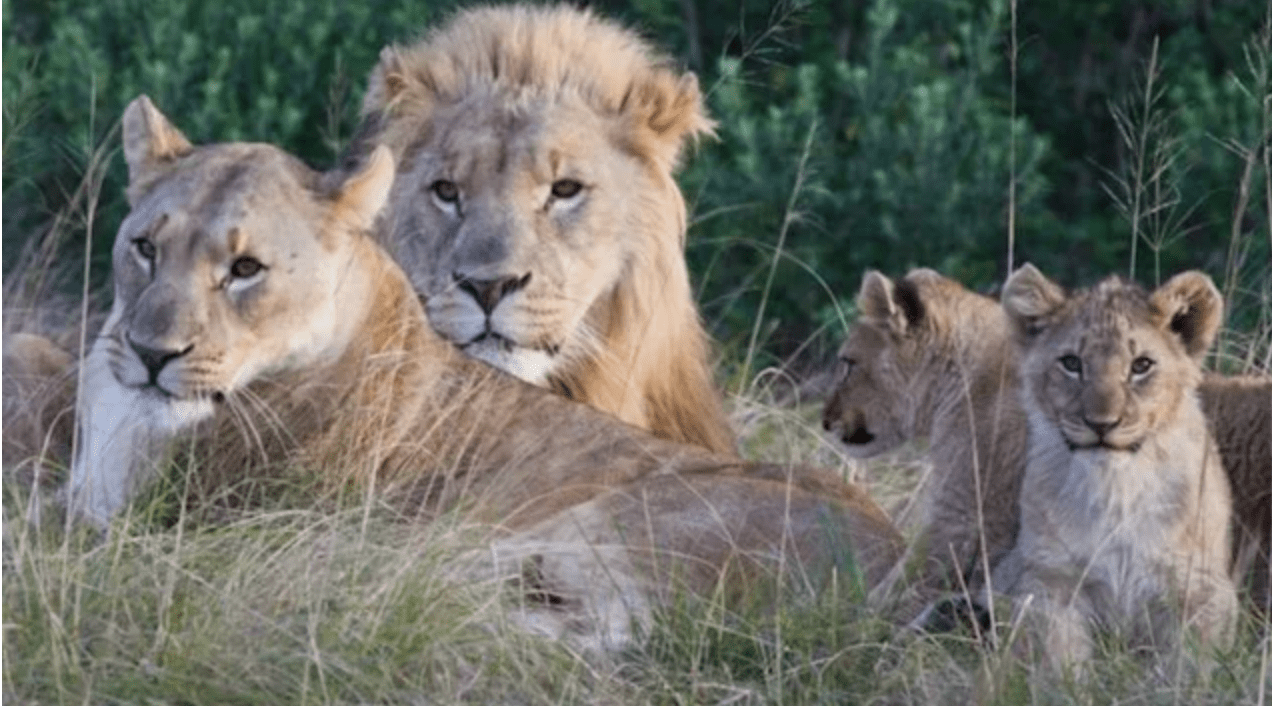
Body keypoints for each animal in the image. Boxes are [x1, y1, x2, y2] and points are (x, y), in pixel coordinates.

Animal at [64, 96, 900, 648]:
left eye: (245, 270)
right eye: (144, 247)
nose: (152, 353)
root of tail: (906, 580)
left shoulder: (184, 528)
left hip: (576, 528)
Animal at [992, 263, 1231, 666]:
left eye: (1141, 365)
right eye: (1072, 363)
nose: (1101, 424)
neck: (1115, 487)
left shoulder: (1199, 588)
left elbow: (1186, 664)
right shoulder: (1049, 579)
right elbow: (1060, 660)